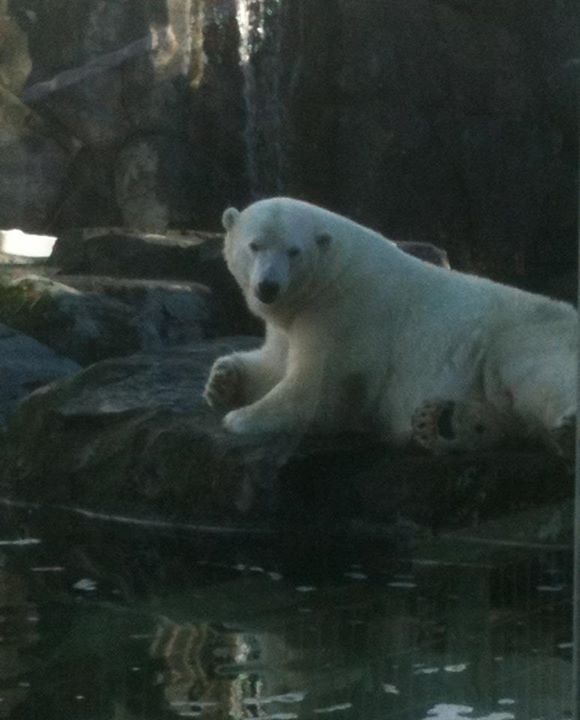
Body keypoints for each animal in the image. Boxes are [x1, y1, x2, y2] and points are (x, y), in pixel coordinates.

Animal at [204, 197, 577, 456]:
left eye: (293, 251)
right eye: (254, 245)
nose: (268, 286)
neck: (333, 274)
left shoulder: (344, 314)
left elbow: (319, 389)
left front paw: (241, 419)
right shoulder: (295, 319)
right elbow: (275, 362)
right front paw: (222, 381)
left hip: (525, 334)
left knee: (539, 375)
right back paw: (442, 422)